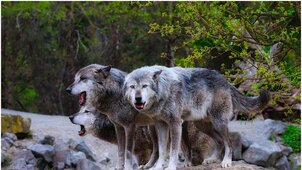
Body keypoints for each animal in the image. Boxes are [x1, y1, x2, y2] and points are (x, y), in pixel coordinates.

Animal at [124, 64, 270, 169]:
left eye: (144, 86)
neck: (164, 89)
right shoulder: (161, 125)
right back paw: (213, 159)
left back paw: (226, 162)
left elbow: (173, 151)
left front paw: (170, 167)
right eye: (132, 87)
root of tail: (225, 81)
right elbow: (161, 151)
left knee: (228, 143)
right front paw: (158, 167)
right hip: (203, 126)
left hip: (219, 123)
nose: (138, 98)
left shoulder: (175, 123)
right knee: (219, 141)